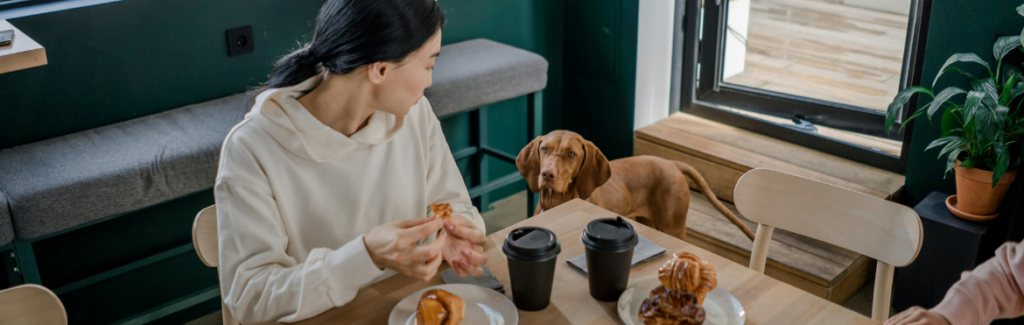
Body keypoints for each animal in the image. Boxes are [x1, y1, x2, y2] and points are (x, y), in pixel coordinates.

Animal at [516, 129, 757, 240]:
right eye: (544, 149)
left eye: (571, 154)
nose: (547, 174)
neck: (557, 202)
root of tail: (672, 163)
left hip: (673, 228)